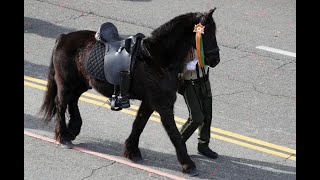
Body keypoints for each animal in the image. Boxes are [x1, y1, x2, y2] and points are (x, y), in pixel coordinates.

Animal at [40, 8, 220, 176]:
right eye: (207, 33)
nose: (215, 60)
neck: (156, 59)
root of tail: (64, 37)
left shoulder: (149, 102)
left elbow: (139, 123)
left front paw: (132, 151)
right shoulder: (162, 104)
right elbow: (174, 134)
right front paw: (188, 165)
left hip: (81, 83)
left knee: (73, 101)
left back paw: (72, 130)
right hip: (66, 83)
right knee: (61, 104)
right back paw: (63, 137)